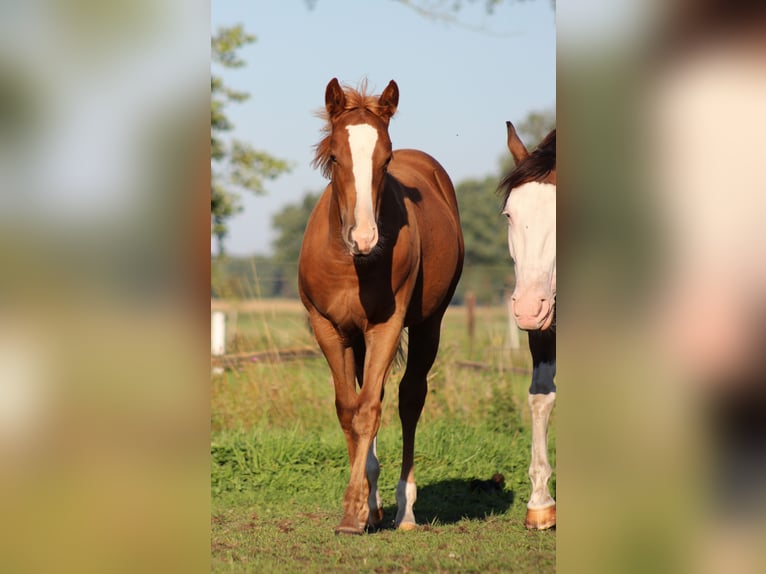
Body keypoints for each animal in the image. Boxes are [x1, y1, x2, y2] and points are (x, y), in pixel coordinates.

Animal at [298, 78, 464, 535]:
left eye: (385, 159)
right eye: (334, 156)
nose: (365, 238)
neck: (351, 263)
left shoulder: (387, 326)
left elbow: (369, 410)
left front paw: (352, 512)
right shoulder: (328, 328)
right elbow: (348, 411)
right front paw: (360, 509)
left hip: (428, 325)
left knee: (409, 398)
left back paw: (403, 510)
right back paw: (375, 504)